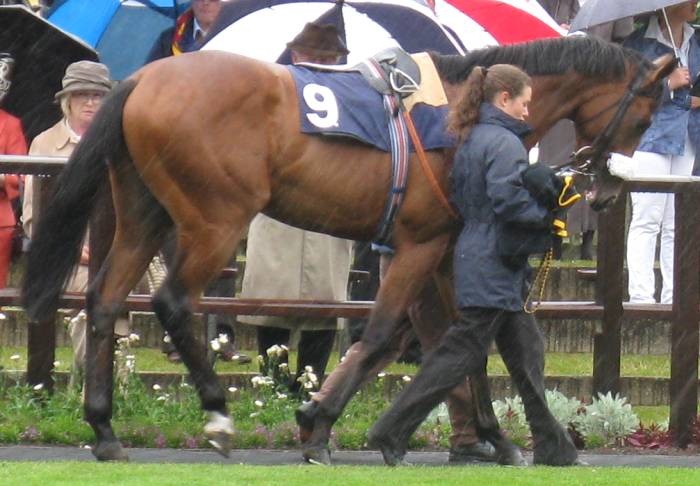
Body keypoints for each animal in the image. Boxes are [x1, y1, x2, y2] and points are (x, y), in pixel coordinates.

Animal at [22, 35, 672, 462]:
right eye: (646, 117)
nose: (608, 192)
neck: (463, 113)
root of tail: (141, 79)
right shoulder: (419, 244)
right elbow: (385, 333)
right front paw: (319, 423)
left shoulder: (448, 248)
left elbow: (466, 342)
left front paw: (494, 437)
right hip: (216, 218)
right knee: (175, 303)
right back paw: (217, 414)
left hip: (143, 213)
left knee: (105, 301)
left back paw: (105, 431)